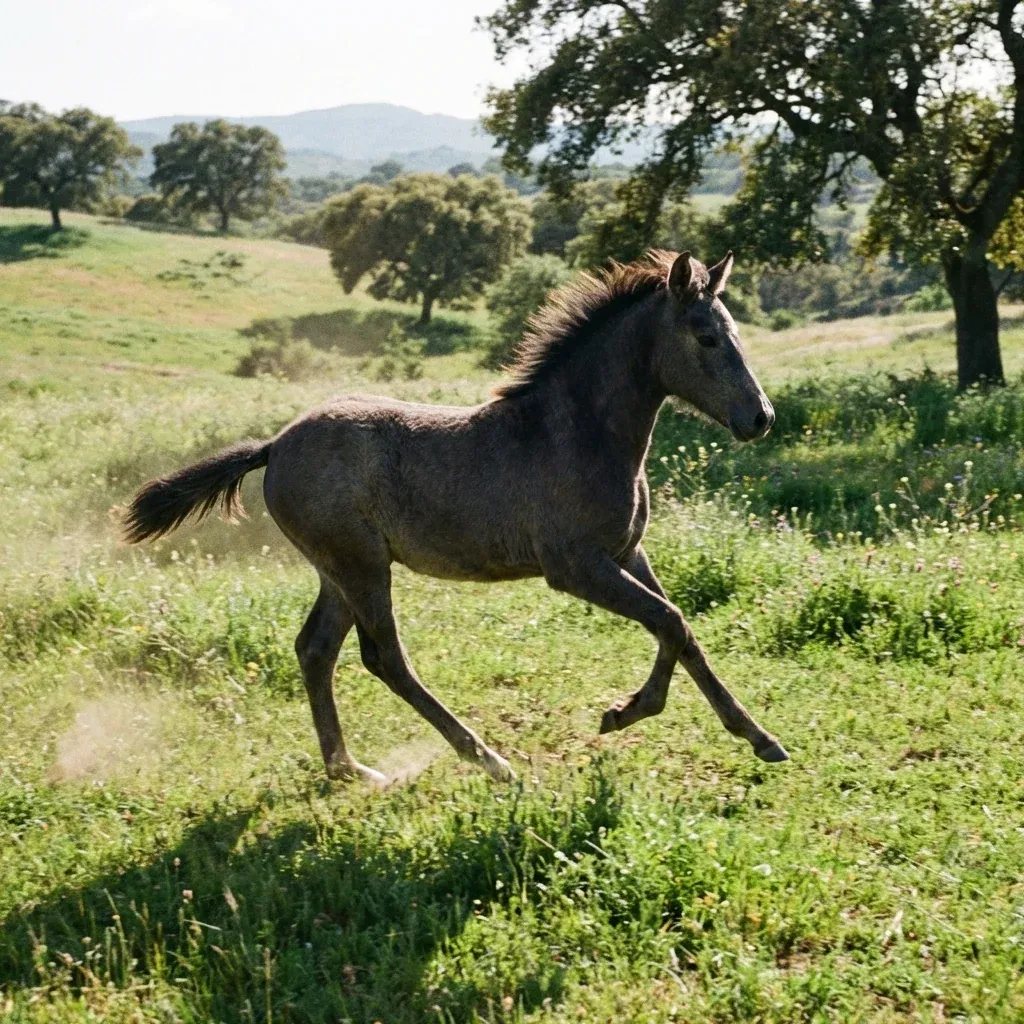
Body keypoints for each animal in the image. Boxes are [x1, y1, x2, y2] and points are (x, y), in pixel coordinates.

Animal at [123, 250, 788, 784]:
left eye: (733, 330)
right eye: (706, 336)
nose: (760, 417)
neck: (576, 432)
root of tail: (275, 445)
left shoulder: (627, 553)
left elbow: (682, 632)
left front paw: (760, 738)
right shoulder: (576, 566)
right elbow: (670, 621)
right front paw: (622, 713)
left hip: (338, 571)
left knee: (315, 650)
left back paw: (350, 771)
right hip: (361, 565)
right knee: (384, 658)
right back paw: (488, 760)